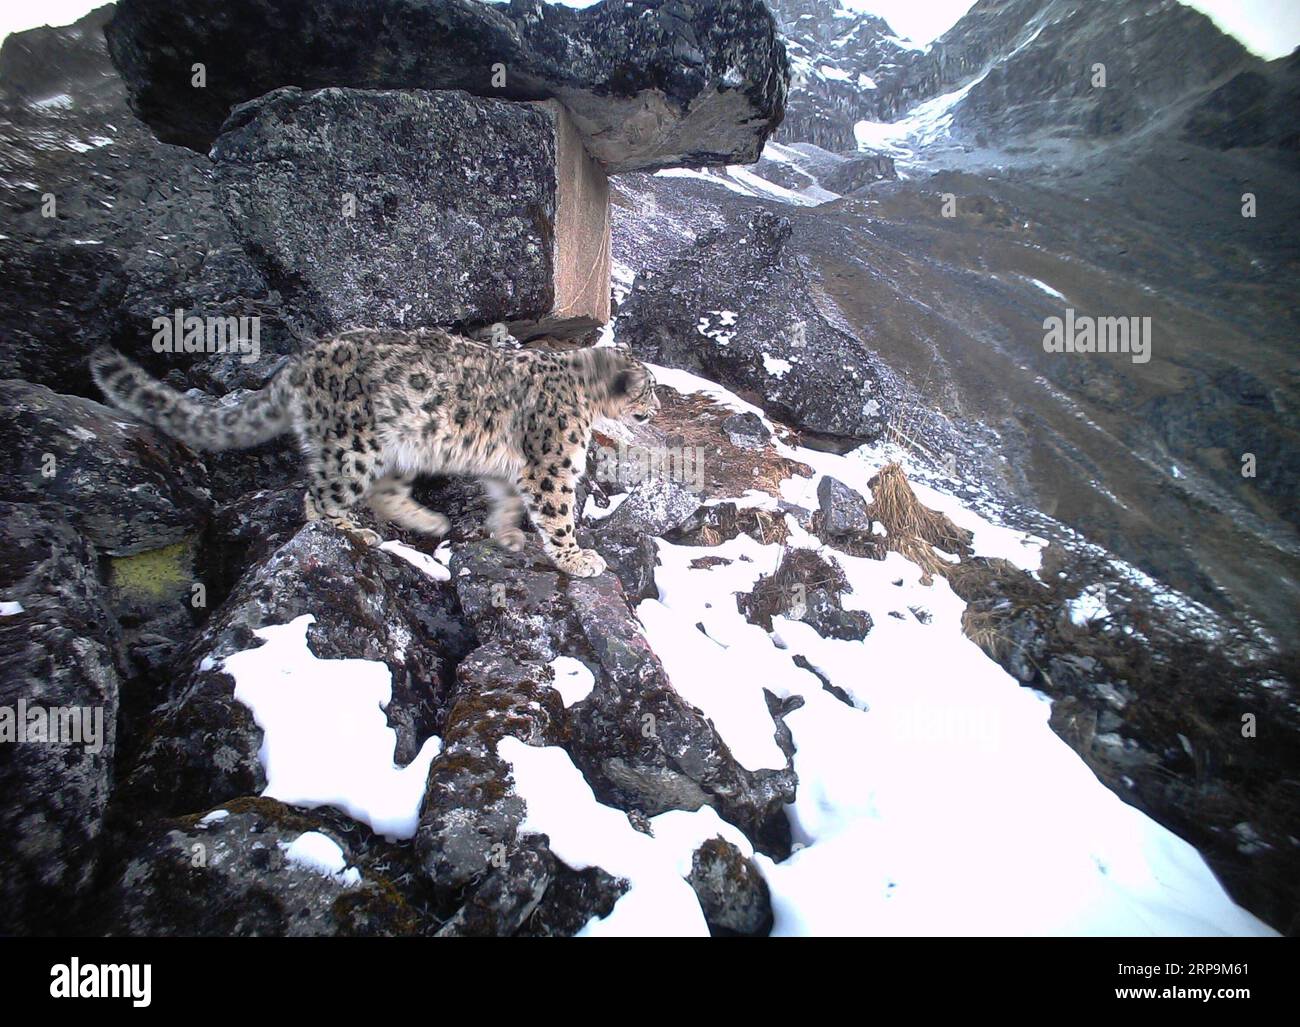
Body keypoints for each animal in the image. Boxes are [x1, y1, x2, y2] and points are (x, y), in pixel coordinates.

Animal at [89, 330, 660, 579]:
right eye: (650, 389)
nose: (656, 406)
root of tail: (301, 362)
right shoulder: (551, 464)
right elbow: (558, 512)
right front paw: (577, 558)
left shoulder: (509, 469)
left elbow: (505, 499)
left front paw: (507, 536)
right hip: (352, 445)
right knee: (317, 498)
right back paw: (353, 530)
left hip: (397, 448)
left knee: (383, 492)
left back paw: (429, 522)